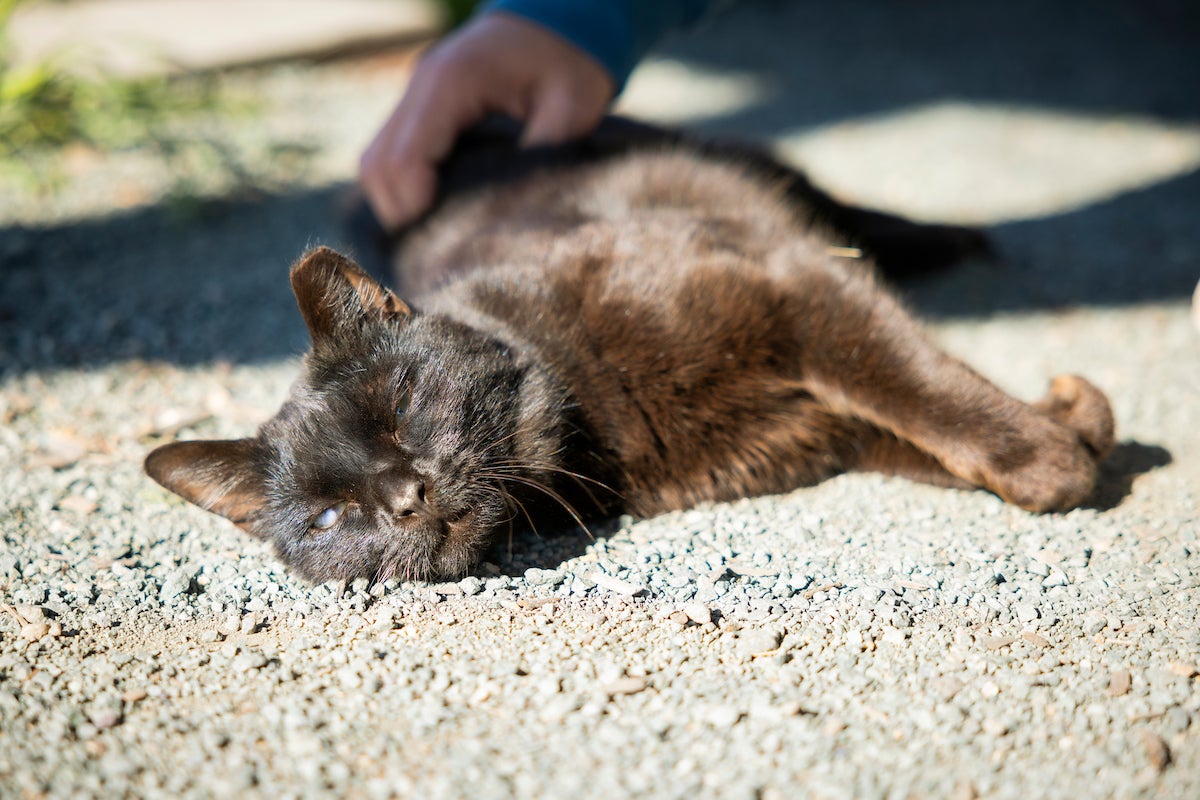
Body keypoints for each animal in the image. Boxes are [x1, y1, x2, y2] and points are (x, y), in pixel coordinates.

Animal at [147, 117, 1113, 582]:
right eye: (328, 520)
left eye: (401, 405)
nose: (403, 496)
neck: (596, 438)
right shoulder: (826, 420)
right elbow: (923, 422)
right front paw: (1069, 428)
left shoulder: (794, 283)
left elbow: (917, 381)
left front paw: (1048, 445)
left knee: (853, 215)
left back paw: (954, 237)